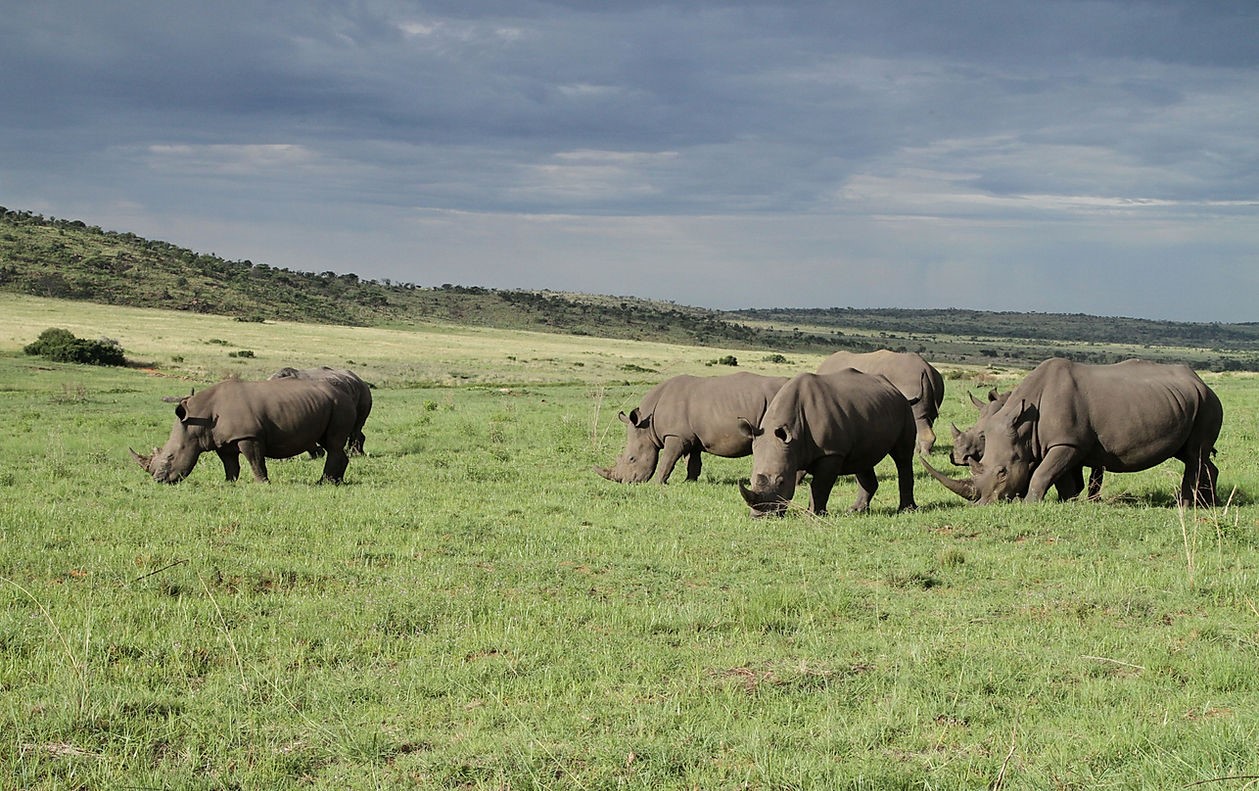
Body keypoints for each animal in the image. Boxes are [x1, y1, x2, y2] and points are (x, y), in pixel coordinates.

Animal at [130, 377, 359, 484]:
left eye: (170, 457)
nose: (158, 481)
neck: (198, 422)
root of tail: (347, 392)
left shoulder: (249, 435)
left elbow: (255, 461)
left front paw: (262, 484)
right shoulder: (221, 441)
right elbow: (230, 465)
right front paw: (229, 483)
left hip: (339, 404)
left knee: (333, 444)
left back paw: (323, 482)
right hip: (330, 404)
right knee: (331, 444)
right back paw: (336, 482)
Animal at [595, 372, 789, 484]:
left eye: (632, 459)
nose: (626, 482)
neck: (647, 425)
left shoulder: (675, 436)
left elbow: (667, 460)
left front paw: (657, 483)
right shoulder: (692, 437)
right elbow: (694, 461)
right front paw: (689, 482)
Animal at [736, 369, 918, 516]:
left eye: (781, 482)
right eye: (750, 481)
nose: (761, 516)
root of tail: (896, 389)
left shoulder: (831, 452)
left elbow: (819, 485)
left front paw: (814, 514)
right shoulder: (795, 449)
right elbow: (805, 480)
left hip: (904, 409)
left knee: (903, 457)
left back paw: (906, 510)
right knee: (862, 460)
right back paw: (855, 510)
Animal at [921, 358, 1221, 506]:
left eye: (1002, 472)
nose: (983, 503)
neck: (1025, 422)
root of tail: (1200, 380)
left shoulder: (1067, 443)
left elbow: (1044, 473)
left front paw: (1030, 503)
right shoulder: (1062, 444)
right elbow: (1060, 477)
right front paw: (1068, 502)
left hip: (1207, 403)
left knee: (1195, 454)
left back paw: (1186, 504)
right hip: (1184, 402)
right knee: (1194, 455)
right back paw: (1210, 502)